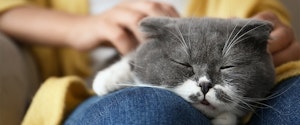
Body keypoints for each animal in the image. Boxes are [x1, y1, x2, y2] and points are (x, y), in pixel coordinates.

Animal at [92, 16, 276, 125]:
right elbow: (132, 58)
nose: (205, 85)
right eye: (184, 64)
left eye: (227, 66)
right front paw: (106, 79)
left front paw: (224, 120)